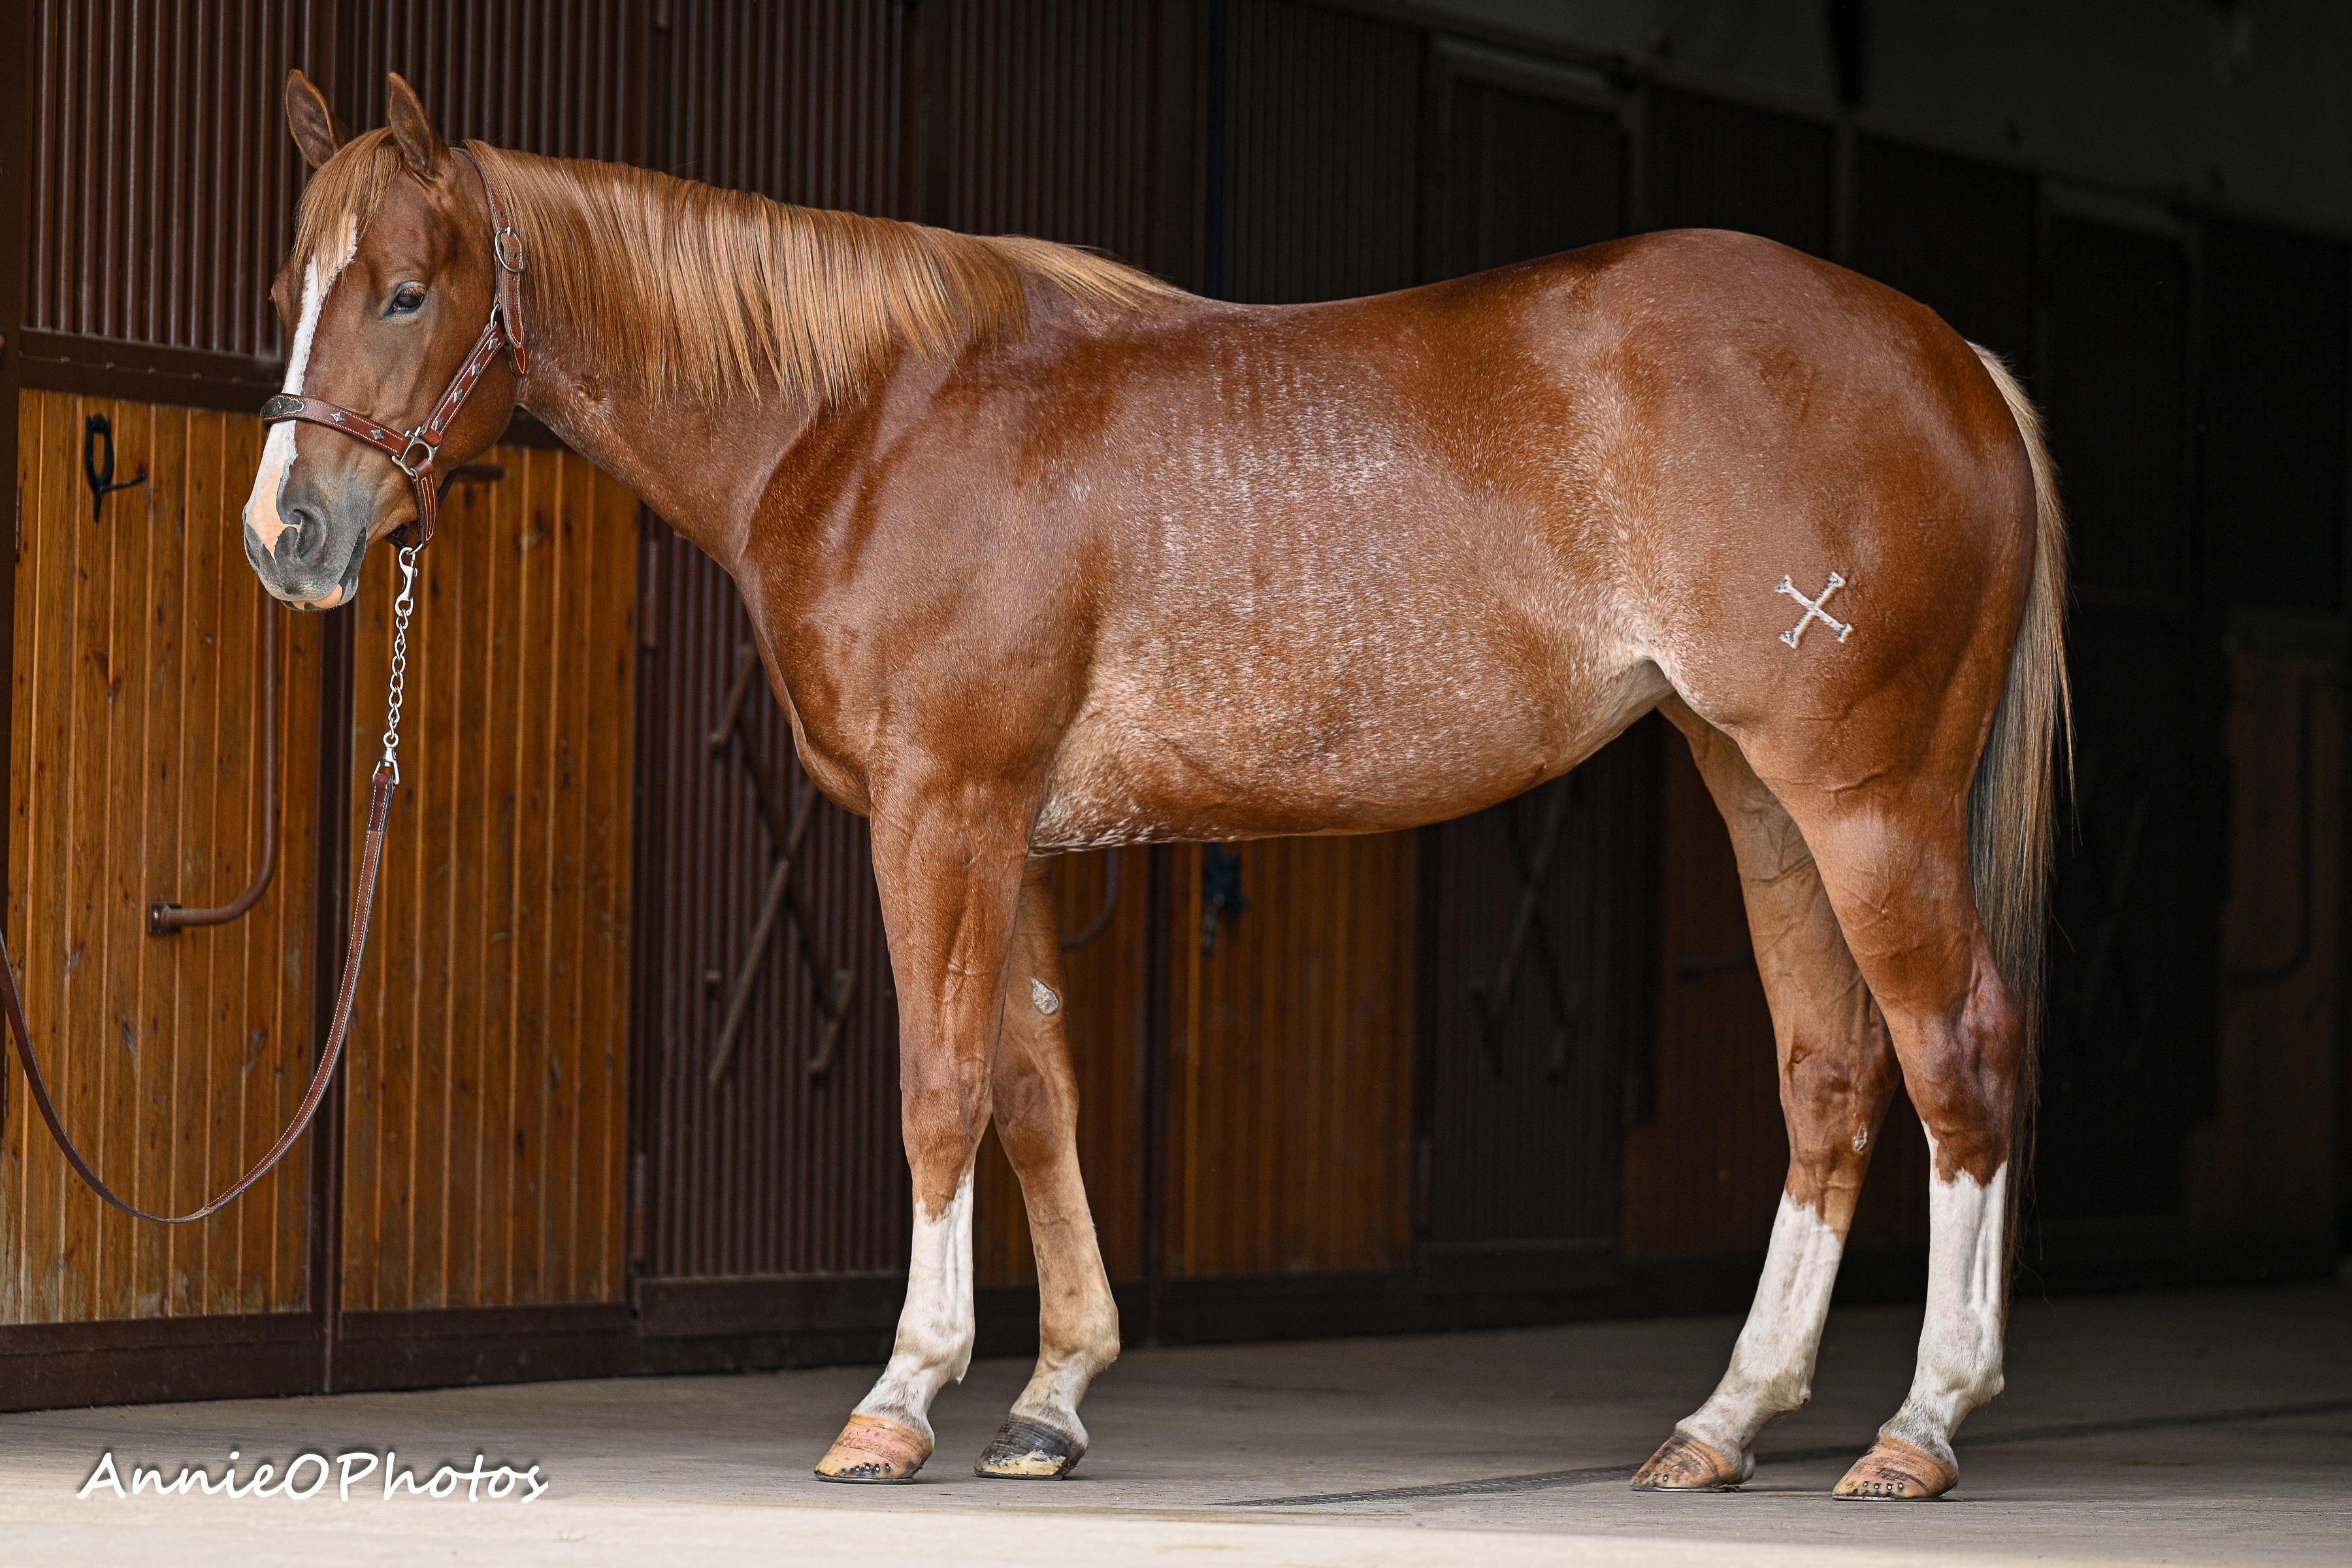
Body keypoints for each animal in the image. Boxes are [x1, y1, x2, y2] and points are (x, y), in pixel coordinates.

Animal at [248, 76, 2070, 1504]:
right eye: (288, 285)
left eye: (404, 292)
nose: (288, 538)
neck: (867, 417)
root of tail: (1952, 359)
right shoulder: (1018, 831)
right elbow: (1034, 1090)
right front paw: (1048, 1402)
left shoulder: (944, 808)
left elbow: (939, 1088)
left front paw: (899, 1399)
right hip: (1759, 792)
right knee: (1831, 1075)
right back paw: (1724, 1421)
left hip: (1865, 794)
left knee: (1957, 1048)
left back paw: (1917, 1425)